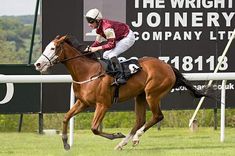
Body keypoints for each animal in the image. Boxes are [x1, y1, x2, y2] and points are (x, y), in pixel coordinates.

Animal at [34, 35, 213, 150]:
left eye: (53, 48)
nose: (38, 64)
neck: (88, 72)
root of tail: (168, 66)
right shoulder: (83, 103)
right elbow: (66, 117)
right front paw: (65, 143)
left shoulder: (103, 104)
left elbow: (94, 128)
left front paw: (116, 134)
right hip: (140, 96)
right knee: (140, 120)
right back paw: (123, 143)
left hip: (152, 94)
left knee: (157, 116)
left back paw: (135, 138)